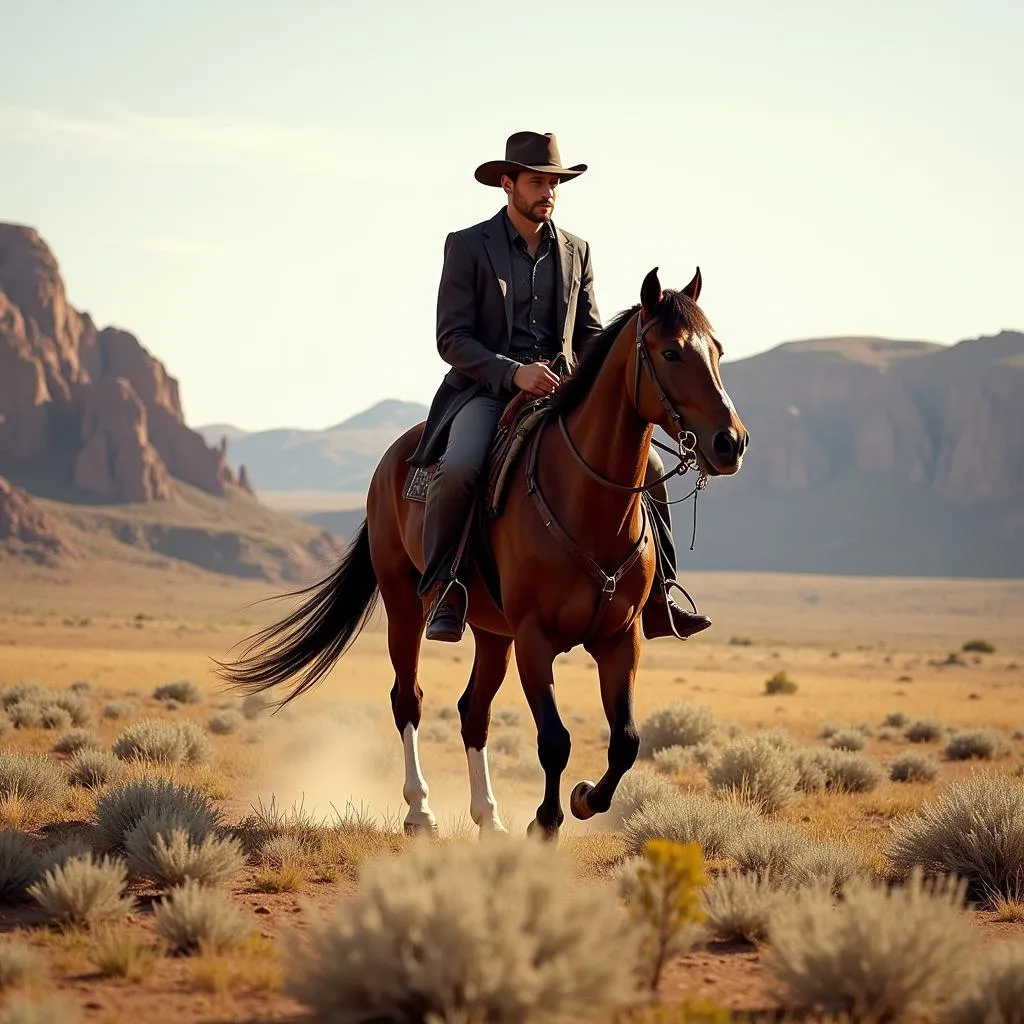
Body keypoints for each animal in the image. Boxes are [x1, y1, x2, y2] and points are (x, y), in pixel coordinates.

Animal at [216, 264, 749, 839]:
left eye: (718, 350)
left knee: (474, 713)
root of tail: (394, 457)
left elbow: (626, 741)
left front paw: (584, 800)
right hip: (406, 606)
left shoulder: (619, 638)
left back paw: (488, 818)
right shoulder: (535, 638)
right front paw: (545, 822)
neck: (588, 504)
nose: (731, 442)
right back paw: (420, 810)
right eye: (671, 352)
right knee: (408, 700)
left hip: (495, 634)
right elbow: (554, 740)